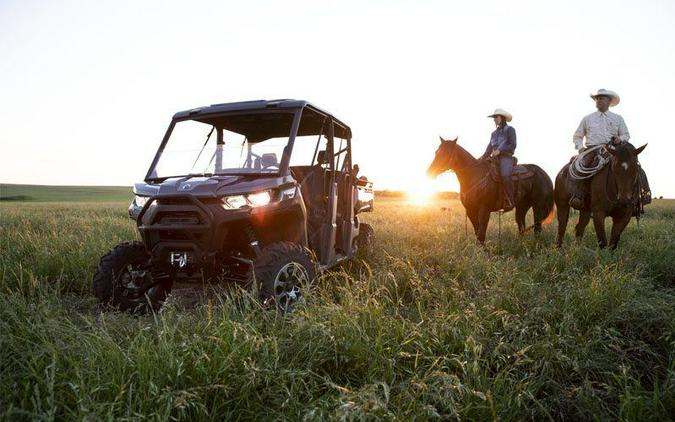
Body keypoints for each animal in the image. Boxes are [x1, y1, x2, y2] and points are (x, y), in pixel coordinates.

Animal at [428, 138, 556, 244]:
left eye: (446, 153)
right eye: (436, 152)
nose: (429, 172)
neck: (474, 176)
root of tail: (546, 176)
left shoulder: (484, 210)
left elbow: (481, 233)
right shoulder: (470, 210)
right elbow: (477, 231)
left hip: (538, 207)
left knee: (537, 228)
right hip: (522, 206)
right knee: (522, 227)